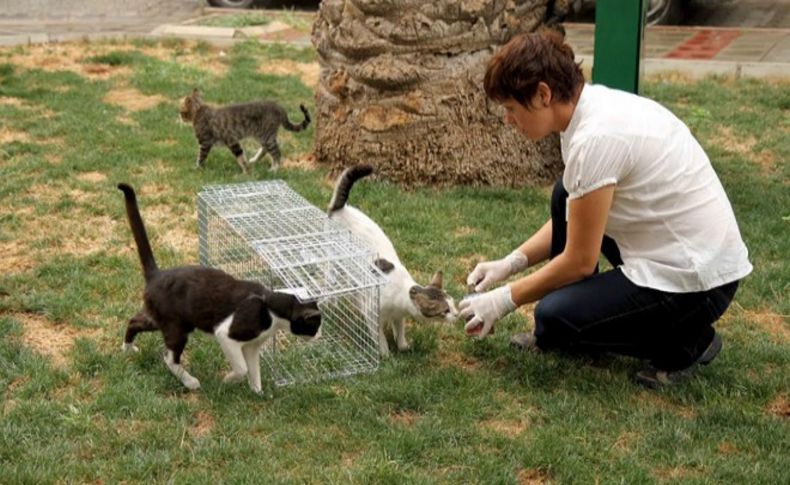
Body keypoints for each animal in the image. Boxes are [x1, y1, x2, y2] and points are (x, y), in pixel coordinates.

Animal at [117, 183, 322, 392]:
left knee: (134, 321)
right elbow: (242, 368)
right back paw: (191, 381)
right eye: (315, 325)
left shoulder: (252, 346)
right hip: (177, 326)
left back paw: (127, 349)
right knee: (169, 358)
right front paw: (228, 380)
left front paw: (258, 393)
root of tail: (156, 274)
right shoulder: (226, 334)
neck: (269, 306)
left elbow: (254, 371)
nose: (320, 336)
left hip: (162, 318)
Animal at [181, 88, 310, 174]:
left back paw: (274, 169)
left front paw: (197, 168)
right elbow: (241, 156)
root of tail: (279, 107)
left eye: (181, 111)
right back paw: (254, 159)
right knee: (266, 149)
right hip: (262, 136)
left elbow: (201, 157)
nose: (180, 117)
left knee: (277, 153)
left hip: (266, 136)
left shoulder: (207, 142)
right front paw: (247, 169)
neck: (199, 110)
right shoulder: (232, 141)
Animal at [326, 164, 458, 358]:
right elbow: (379, 336)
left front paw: (403, 346)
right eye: (445, 311)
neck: (401, 293)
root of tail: (342, 208)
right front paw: (385, 353)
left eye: (453, 303)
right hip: (333, 266)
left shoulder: (399, 316)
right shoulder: (373, 314)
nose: (458, 314)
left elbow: (400, 332)